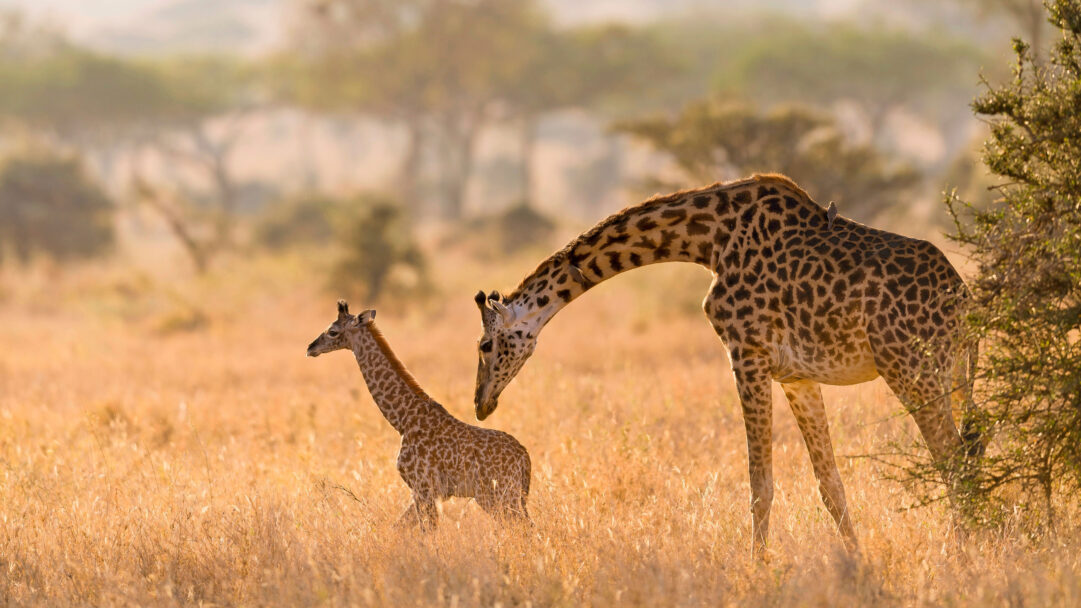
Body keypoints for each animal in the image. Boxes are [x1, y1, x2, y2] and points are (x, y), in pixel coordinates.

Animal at [308, 300, 531, 528]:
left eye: (333, 332)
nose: (311, 348)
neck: (403, 420)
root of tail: (524, 458)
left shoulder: (424, 487)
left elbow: (426, 533)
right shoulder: (423, 492)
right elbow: (399, 528)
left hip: (500, 494)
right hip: (502, 495)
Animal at [472, 173, 979, 558]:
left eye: (484, 344)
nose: (481, 403)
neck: (706, 241)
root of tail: (963, 299)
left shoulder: (746, 354)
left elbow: (760, 483)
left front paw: (758, 568)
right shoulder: (796, 375)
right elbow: (830, 484)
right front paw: (856, 563)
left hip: (911, 370)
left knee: (954, 460)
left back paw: (961, 553)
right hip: (950, 374)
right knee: (966, 454)